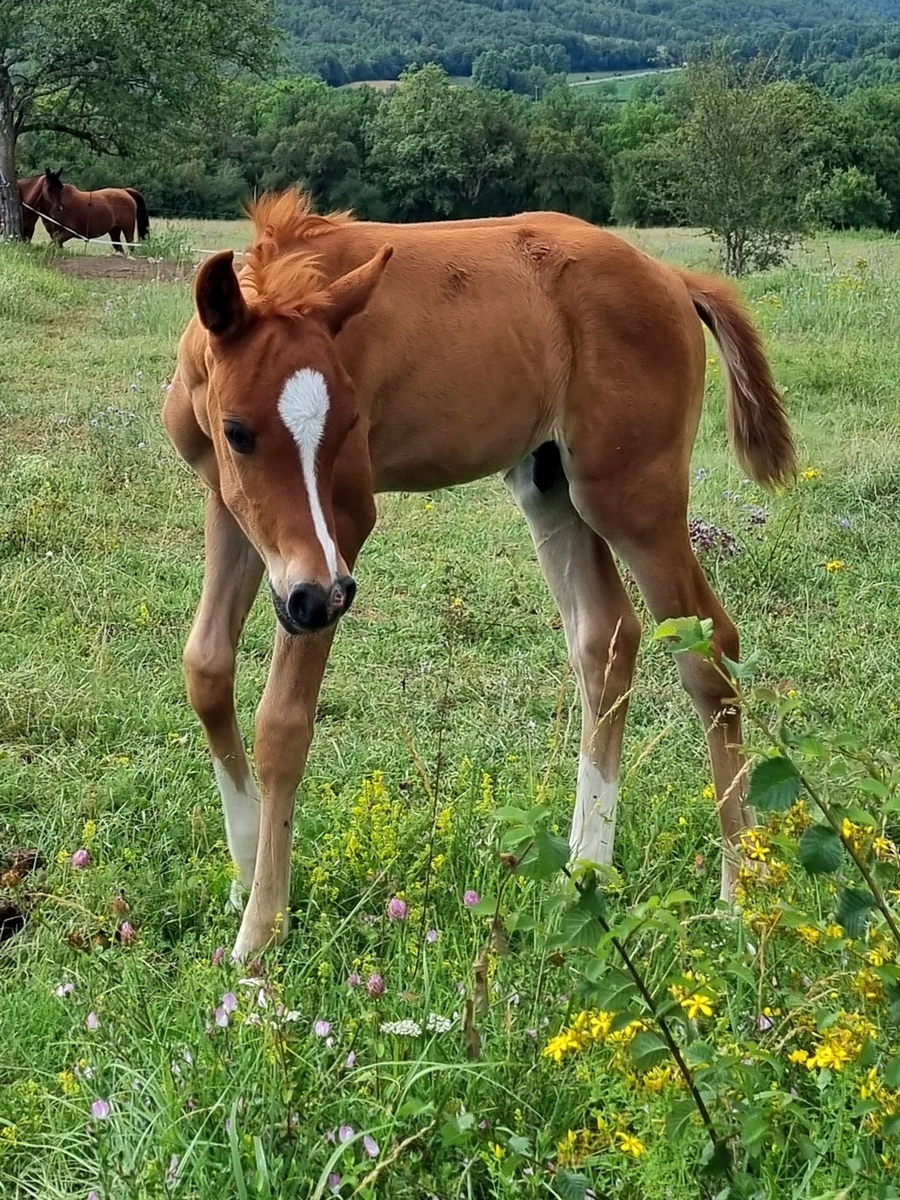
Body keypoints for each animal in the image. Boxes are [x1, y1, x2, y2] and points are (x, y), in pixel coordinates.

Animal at [163, 191, 795, 961]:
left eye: (348, 425)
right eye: (238, 432)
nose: (323, 597)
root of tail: (674, 279)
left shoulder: (343, 523)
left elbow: (283, 723)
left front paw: (261, 930)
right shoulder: (229, 506)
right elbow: (206, 668)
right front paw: (246, 867)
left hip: (632, 497)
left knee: (710, 648)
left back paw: (741, 895)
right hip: (551, 485)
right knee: (608, 637)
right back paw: (585, 867)